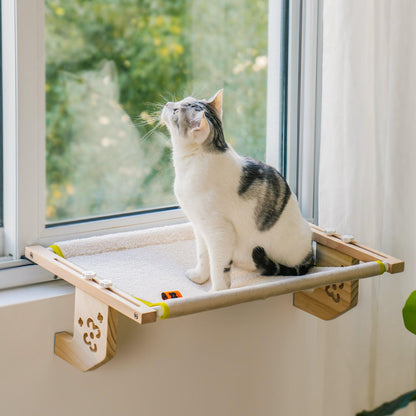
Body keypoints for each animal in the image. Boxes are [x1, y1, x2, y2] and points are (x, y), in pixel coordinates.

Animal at [161, 89, 314, 290]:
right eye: (181, 101)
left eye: (176, 111)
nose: (167, 104)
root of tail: (310, 255)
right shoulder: (200, 227)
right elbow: (203, 257)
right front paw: (199, 277)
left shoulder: (219, 231)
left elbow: (218, 269)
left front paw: (216, 293)